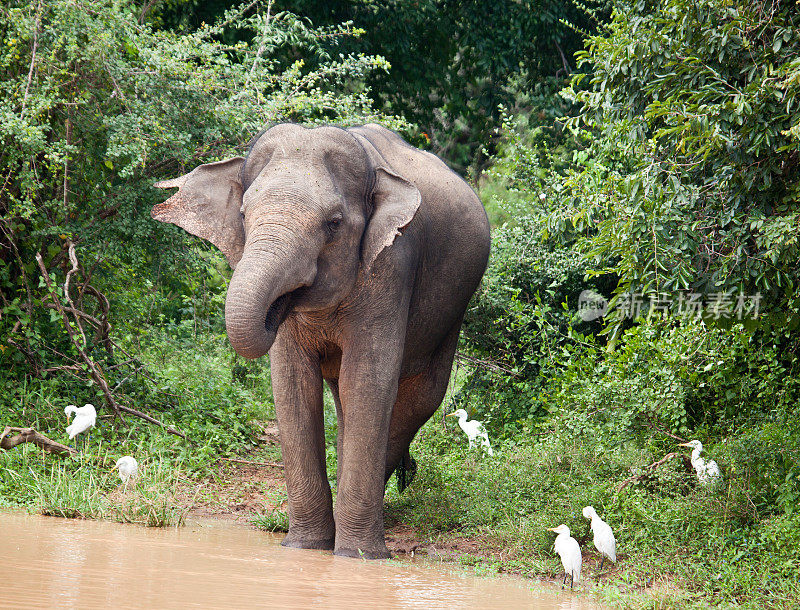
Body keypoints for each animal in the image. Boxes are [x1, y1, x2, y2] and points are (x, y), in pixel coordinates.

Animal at [149, 122, 488, 556]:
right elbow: (293, 383)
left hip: (453, 312)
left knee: (418, 397)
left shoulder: (392, 265)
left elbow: (367, 381)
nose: (278, 305)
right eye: (242, 214)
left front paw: (358, 557)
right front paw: (304, 548)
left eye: (334, 223)